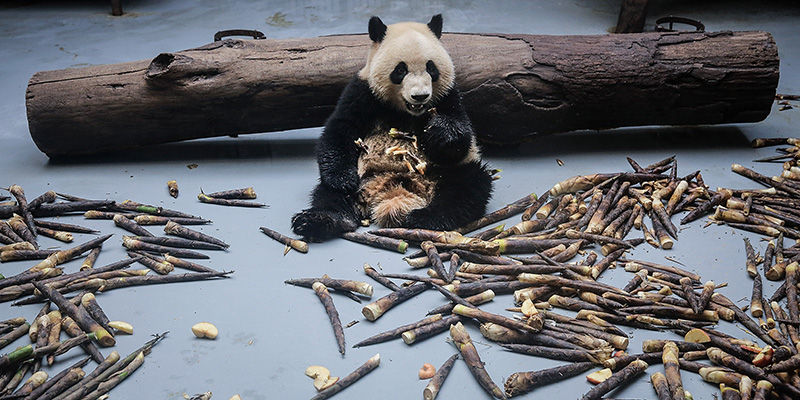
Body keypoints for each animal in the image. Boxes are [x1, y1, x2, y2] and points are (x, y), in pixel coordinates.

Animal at [292, 14, 494, 241]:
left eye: (431, 68)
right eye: (401, 69)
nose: (420, 96)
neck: (406, 111)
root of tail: (392, 189)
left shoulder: (448, 96)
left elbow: (462, 134)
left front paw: (438, 133)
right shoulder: (363, 92)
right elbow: (340, 129)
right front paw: (342, 179)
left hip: (446, 172)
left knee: (468, 187)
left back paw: (424, 217)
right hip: (361, 176)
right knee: (330, 197)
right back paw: (315, 221)